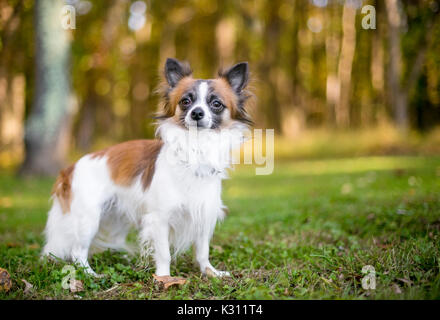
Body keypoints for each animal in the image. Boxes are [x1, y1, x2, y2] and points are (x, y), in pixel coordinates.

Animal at [43, 58, 254, 278]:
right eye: (185, 101)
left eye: (216, 104)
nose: (197, 113)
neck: (196, 147)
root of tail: (70, 169)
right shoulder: (159, 219)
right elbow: (164, 254)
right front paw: (164, 278)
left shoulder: (203, 214)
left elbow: (203, 251)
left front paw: (211, 272)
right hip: (88, 219)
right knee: (78, 252)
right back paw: (92, 275)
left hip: (114, 218)